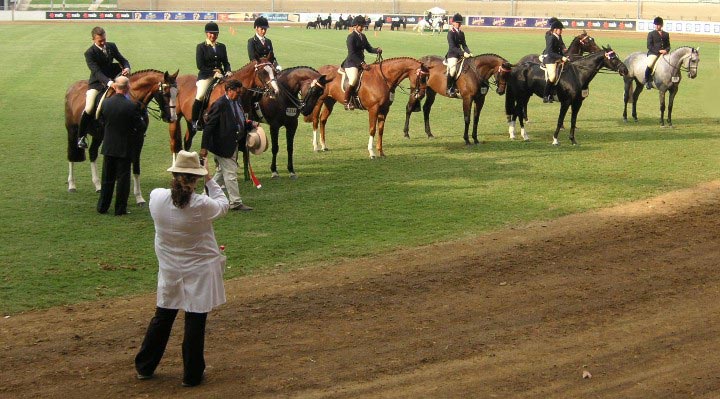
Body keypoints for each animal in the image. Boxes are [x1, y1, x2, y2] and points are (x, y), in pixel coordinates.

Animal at [65, 69, 179, 205]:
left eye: (177, 94)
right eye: (166, 94)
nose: (172, 118)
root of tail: (72, 87)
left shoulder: (138, 139)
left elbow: (136, 166)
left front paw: (139, 197)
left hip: (98, 135)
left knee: (92, 152)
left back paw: (98, 185)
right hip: (72, 131)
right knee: (72, 155)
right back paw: (72, 185)